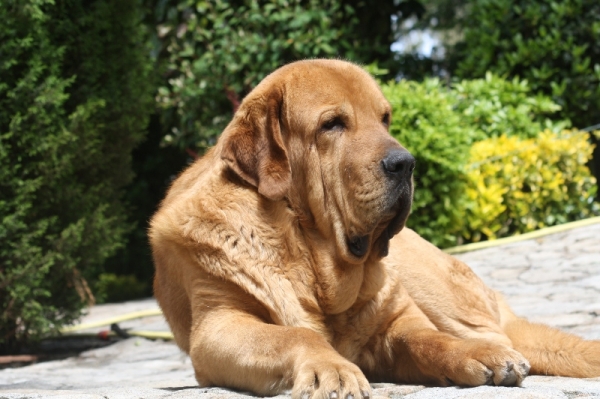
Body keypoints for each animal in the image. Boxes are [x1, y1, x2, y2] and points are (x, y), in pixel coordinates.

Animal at [150, 59, 600, 399]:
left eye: (384, 119)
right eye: (332, 124)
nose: (406, 163)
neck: (313, 257)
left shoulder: (396, 320)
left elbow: (427, 339)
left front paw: (472, 354)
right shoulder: (219, 325)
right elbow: (295, 336)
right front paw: (331, 369)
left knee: (499, 335)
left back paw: (487, 346)